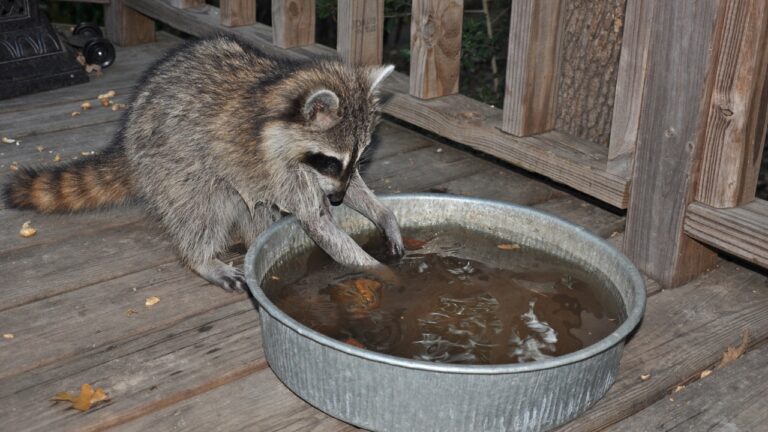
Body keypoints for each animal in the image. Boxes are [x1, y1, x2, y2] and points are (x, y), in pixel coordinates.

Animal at [3, 34, 404, 291]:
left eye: (355, 160)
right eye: (329, 162)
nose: (337, 199)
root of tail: (128, 135)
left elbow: (347, 195)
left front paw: (383, 216)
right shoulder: (275, 164)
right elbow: (315, 221)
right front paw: (382, 271)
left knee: (251, 205)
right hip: (172, 161)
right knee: (201, 207)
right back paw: (201, 256)